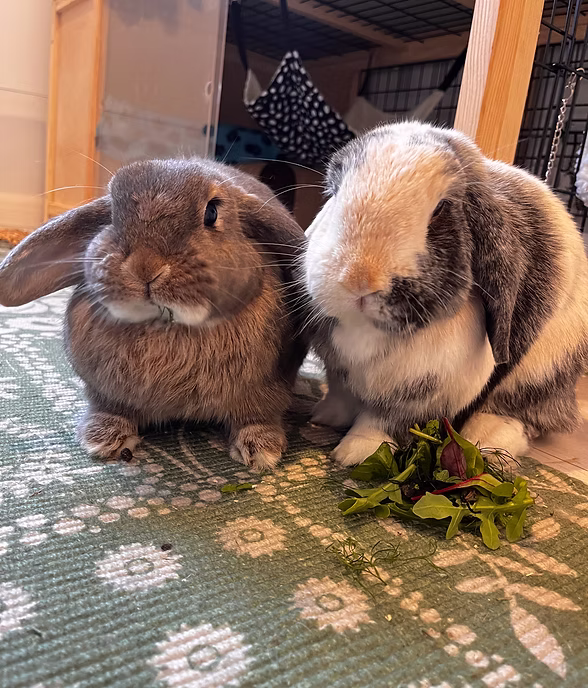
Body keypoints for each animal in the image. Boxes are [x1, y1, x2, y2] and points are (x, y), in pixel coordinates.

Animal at [0, 157, 308, 470]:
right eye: (111, 215)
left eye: (212, 212)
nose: (145, 266)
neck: (167, 325)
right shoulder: (106, 393)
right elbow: (112, 411)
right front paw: (102, 439)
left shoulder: (266, 391)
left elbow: (257, 417)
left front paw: (261, 452)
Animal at [303, 121, 588, 466]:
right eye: (334, 193)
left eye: (441, 209)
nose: (358, 279)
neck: (369, 332)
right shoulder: (338, 372)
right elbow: (340, 394)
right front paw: (323, 416)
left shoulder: (420, 392)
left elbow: (381, 422)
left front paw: (355, 454)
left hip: (542, 370)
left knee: (518, 411)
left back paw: (488, 440)